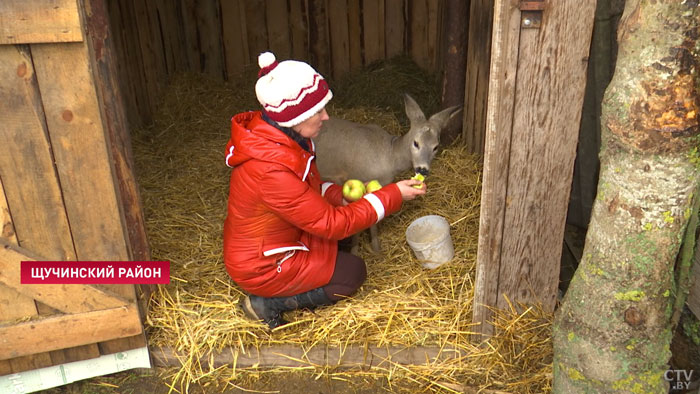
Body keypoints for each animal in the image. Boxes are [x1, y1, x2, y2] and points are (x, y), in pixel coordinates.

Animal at [314, 93, 462, 251]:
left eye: (436, 147)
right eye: (416, 143)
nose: (423, 169)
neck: (391, 156)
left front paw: (375, 247)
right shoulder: (360, 179)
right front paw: (364, 249)